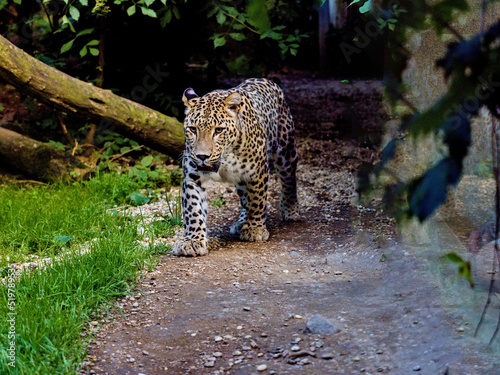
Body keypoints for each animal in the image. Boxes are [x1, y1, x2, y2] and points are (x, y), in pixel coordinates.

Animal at [173, 78, 296, 258]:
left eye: (218, 130)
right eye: (193, 129)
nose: (202, 156)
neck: (224, 158)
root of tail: (266, 80)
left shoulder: (257, 171)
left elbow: (257, 200)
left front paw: (255, 229)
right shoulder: (192, 177)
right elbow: (193, 209)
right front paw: (193, 241)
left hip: (286, 149)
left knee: (289, 178)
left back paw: (290, 210)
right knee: (244, 197)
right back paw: (241, 222)